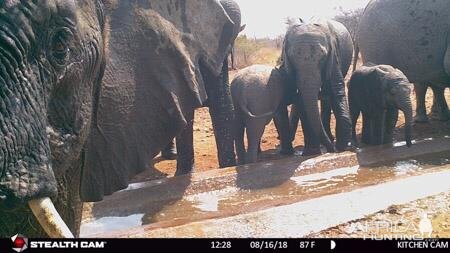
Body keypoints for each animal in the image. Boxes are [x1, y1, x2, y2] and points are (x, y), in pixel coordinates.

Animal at [280, 18, 354, 155]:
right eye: (292, 56)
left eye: (323, 55)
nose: (333, 150)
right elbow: (302, 98)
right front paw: (312, 152)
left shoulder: (334, 55)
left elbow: (336, 89)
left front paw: (342, 145)